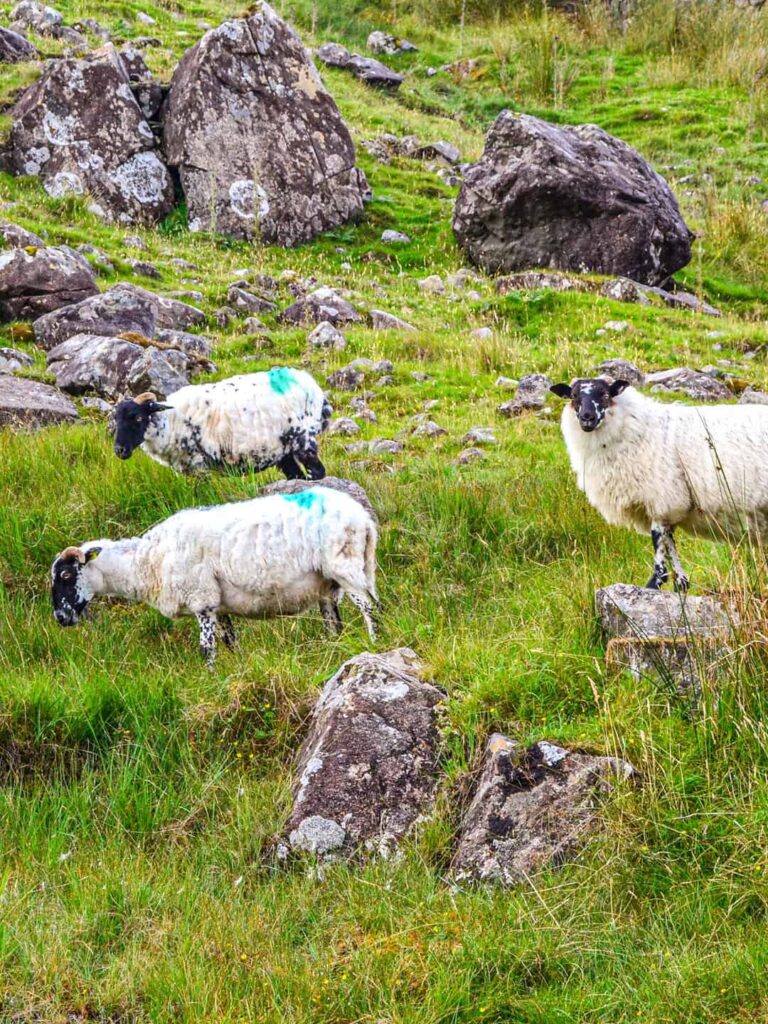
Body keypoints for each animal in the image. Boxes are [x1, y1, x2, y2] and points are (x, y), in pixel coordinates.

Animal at [51, 486, 379, 664]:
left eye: (66, 575)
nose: (60, 618)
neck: (148, 562)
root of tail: (362, 519)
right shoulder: (219, 606)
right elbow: (231, 641)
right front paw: (238, 668)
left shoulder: (202, 601)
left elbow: (206, 649)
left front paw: (210, 676)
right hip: (331, 581)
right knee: (335, 622)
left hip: (345, 566)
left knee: (370, 608)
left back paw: (375, 642)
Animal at [112, 367, 332, 479]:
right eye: (116, 419)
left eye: (138, 417)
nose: (119, 450)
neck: (171, 422)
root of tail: (313, 387)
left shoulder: (200, 466)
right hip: (283, 450)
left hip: (304, 440)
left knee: (318, 472)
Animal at [550, 376, 768, 591]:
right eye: (573, 396)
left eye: (604, 394)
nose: (587, 417)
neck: (637, 428)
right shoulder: (667, 506)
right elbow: (670, 543)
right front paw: (680, 583)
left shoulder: (662, 497)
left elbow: (659, 541)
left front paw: (655, 583)